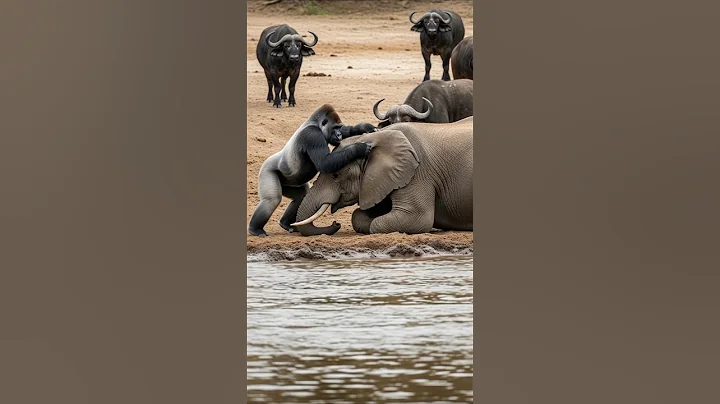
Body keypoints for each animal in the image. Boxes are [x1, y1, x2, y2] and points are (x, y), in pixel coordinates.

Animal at [248, 104, 377, 237]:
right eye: (335, 128)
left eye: (339, 128)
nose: (339, 135)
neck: (316, 124)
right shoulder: (313, 135)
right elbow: (324, 162)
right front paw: (358, 148)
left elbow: (347, 131)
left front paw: (365, 127)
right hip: (267, 170)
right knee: (271, 200)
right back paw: (255, 229)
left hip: (288, 183)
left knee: (300, 196)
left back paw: (286, 223)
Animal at [291, 117, 473, 236]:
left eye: (336, 175)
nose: (336, 223)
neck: (378, 136)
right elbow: (359, 215)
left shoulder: (417, 173)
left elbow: (416, 218)